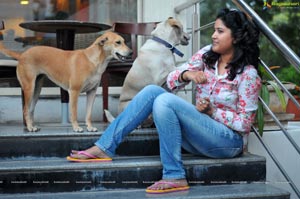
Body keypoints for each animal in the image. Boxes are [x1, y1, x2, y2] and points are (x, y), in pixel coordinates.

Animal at [0, 31, 131, 132]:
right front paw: (76, 127)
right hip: (29, 88)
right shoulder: (74, 92)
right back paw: (29, 127)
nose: (131, 53)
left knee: (31, 110)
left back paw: (32, 126)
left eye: (124, 41)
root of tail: (22, 55)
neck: (93, 60)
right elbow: (73, 112)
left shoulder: (92, 92)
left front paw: (89, 127)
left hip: (37, 89)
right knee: (25, 110)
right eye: (118, 42)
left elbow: (88, 114)